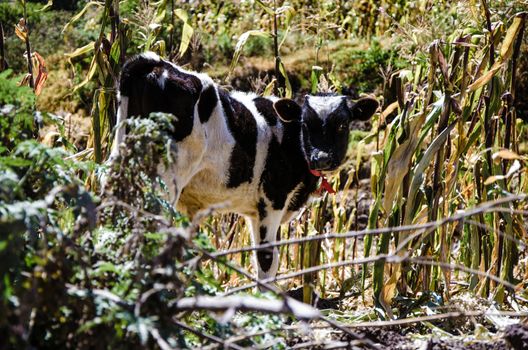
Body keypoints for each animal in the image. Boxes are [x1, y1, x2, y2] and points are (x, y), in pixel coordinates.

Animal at [109, 52, 378, 282]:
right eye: (305, 123)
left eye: (342, 125)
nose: (321, 158)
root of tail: (154, 62)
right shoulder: (272, 200)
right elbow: (267, 259)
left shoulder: (252, 210)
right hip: (164, 183)